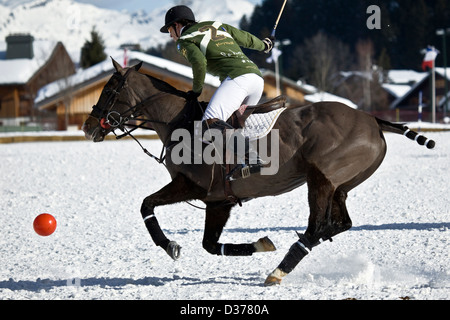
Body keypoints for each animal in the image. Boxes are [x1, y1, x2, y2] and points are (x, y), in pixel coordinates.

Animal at [82, 58, 434, 286]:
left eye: (110, 91)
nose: (88, 127)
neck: (180, 122)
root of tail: (373, 119)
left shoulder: (193, 186)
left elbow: (146, 204)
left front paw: (169, 245)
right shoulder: (218, 200)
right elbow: (210, 244)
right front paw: (262, 244)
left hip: (321, 178)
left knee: (316, 226)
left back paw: (279, 270)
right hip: (340, 185)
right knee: (339, 223)